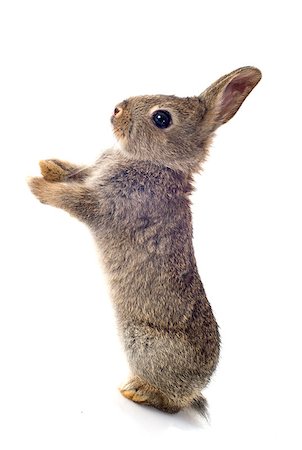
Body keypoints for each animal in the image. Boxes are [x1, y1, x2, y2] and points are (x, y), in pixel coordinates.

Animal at [28, 66, 262, 414]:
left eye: (162, 118)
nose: (116, 109)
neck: (157, 162)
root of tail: (197, 387)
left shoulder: (108, 206)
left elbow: (73, 199)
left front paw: (37, 185)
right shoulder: (94, 173)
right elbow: (77, 171)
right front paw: (48, 165)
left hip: (142, 343)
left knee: (171, 403)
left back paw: (138, 393)